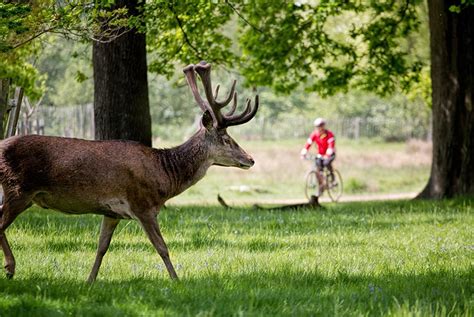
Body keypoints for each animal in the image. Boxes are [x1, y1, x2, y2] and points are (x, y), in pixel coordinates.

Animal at [0, 61, 260, 282]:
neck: (164, 176)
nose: (250, 159)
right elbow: (162, 247)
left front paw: (89, 281)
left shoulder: (111, 212)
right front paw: (177, 281)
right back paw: (10, 268)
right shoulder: (142, 205)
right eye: (226, 139)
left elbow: (101, 248)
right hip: (18, 189)